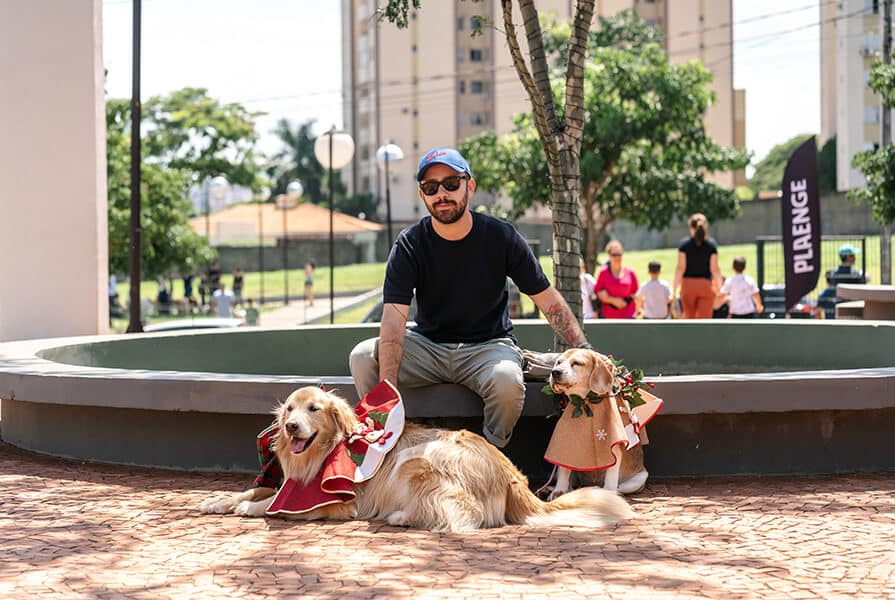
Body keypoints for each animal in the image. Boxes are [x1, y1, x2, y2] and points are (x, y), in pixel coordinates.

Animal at [200, 382, 632, 532]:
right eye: (289, 409)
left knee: (465, 515)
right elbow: (256, 492)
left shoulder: (334, 503)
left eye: (314, 409)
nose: (291, 427)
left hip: (417, 461)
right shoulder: (293, 483)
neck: (321, 454)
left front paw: (249, 509)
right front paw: (217, 501)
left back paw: (403, 516)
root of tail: (513, 478)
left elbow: (274, 504)